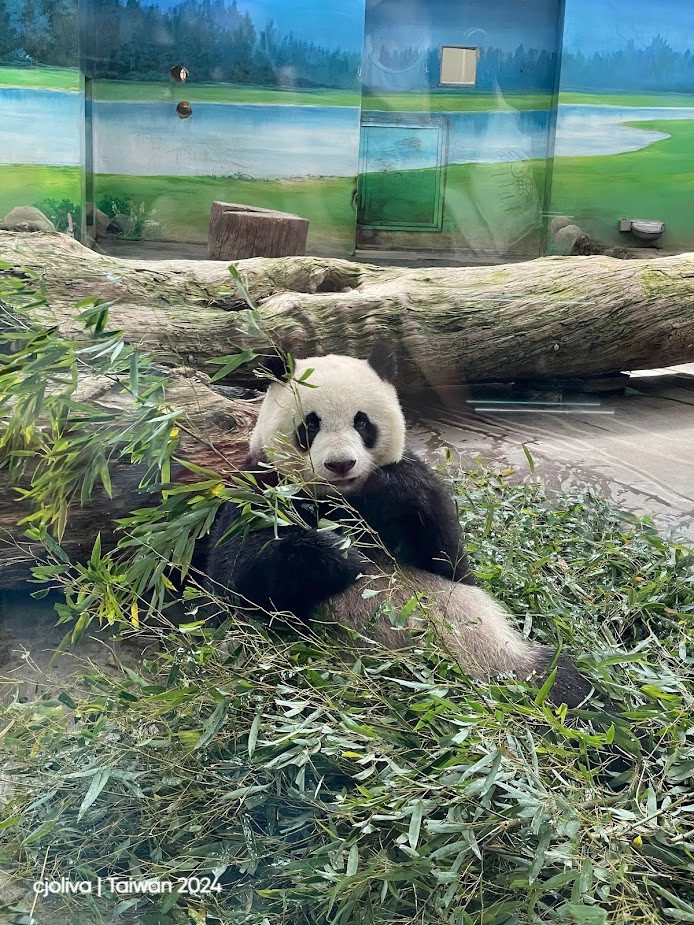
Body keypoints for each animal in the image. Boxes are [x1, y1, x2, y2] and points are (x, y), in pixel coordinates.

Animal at [203, 345, 592, 708]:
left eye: (362, 422)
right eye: (310, 425)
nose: (341, 464)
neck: (341, 499)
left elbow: (451, 561)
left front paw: (391, 488)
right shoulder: (260, 486)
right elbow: (235, 572)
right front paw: (342, 555)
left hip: (507, 657)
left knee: (567, 684)